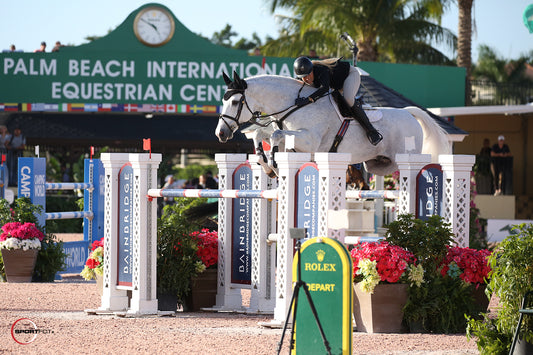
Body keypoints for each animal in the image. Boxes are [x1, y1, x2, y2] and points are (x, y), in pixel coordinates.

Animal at [215, 71, 448, 177]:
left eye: (234, 102)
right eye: (223, 101)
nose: (220, 134)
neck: (294, 104)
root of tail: (409, 113)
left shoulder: (309, 141)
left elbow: (275, 136)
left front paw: (272, 162)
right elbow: (260, 134)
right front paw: (265, 164)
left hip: (404, 157)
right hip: (376, 164)